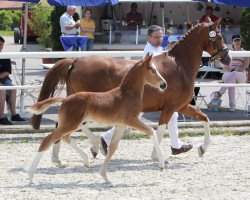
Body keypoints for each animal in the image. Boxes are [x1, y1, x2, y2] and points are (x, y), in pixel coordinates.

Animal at [27, 55, 167, 184]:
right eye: (153, 70)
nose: (164, 84)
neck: (127, 94)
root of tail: (65, 99)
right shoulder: (131, 120)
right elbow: (151, 131)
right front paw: (161, 164)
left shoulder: (121, 125)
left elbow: (113, 148)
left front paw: (105, 177)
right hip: (71, 123)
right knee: (48, 140)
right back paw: (31, 176)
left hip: (72, 123)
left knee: (64, 137)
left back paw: (86, 160)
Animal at [29, 19, 230, 161]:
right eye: (219, 37)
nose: (227, 59)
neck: (179, 66)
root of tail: (75, 61)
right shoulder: (170, 107)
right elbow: (161, 129)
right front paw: (157, 156)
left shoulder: (181, 106)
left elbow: (204, 118)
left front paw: (201, 148)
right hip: (82, 103)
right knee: (71, 126)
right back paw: (91, 147)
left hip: (75, 101)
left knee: (61, 127)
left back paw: (61, 157)